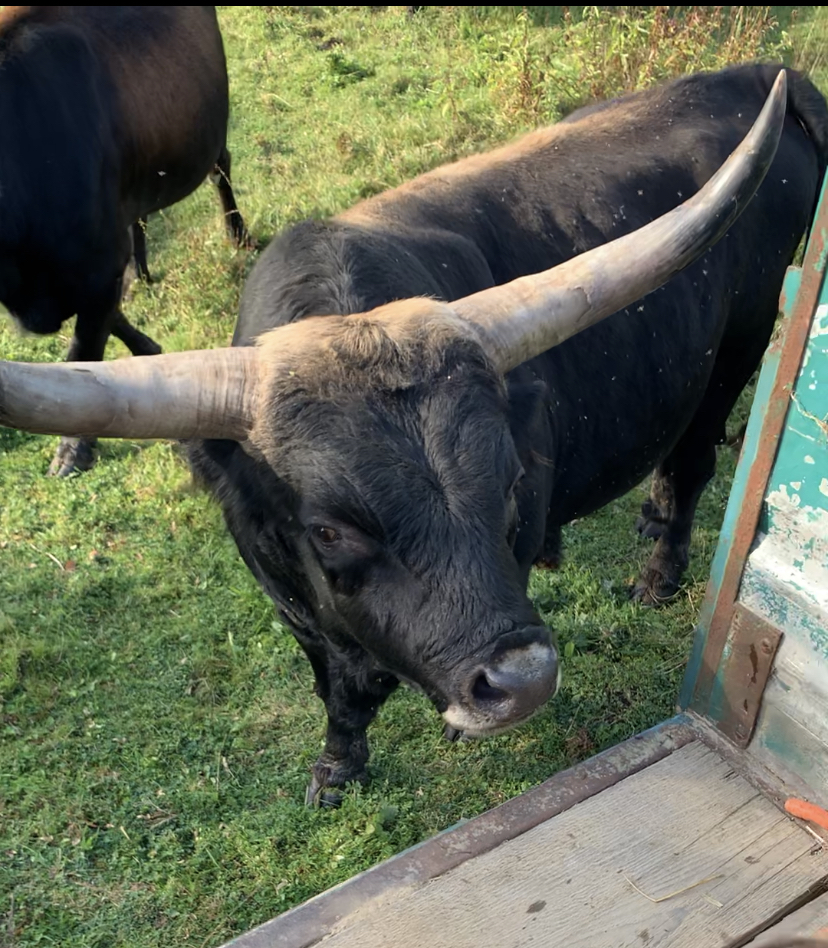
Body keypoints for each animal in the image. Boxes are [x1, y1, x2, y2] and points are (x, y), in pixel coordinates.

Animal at [0, 7, 246, 478]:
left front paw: (72, 450)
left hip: (209, 133)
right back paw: (142, 269)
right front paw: (148, 350)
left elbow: (83, 351)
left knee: (220, 168)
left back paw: (237, 235)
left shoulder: (98, 267)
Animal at [0, 68, 820, 808]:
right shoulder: (296, 612)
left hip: (739, 349)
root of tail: (759, 77)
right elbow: (336, 693)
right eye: (329, 529)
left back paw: (657, 574)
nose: (522, 681)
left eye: (511, 481)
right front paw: (336, 768)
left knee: (692, 465)